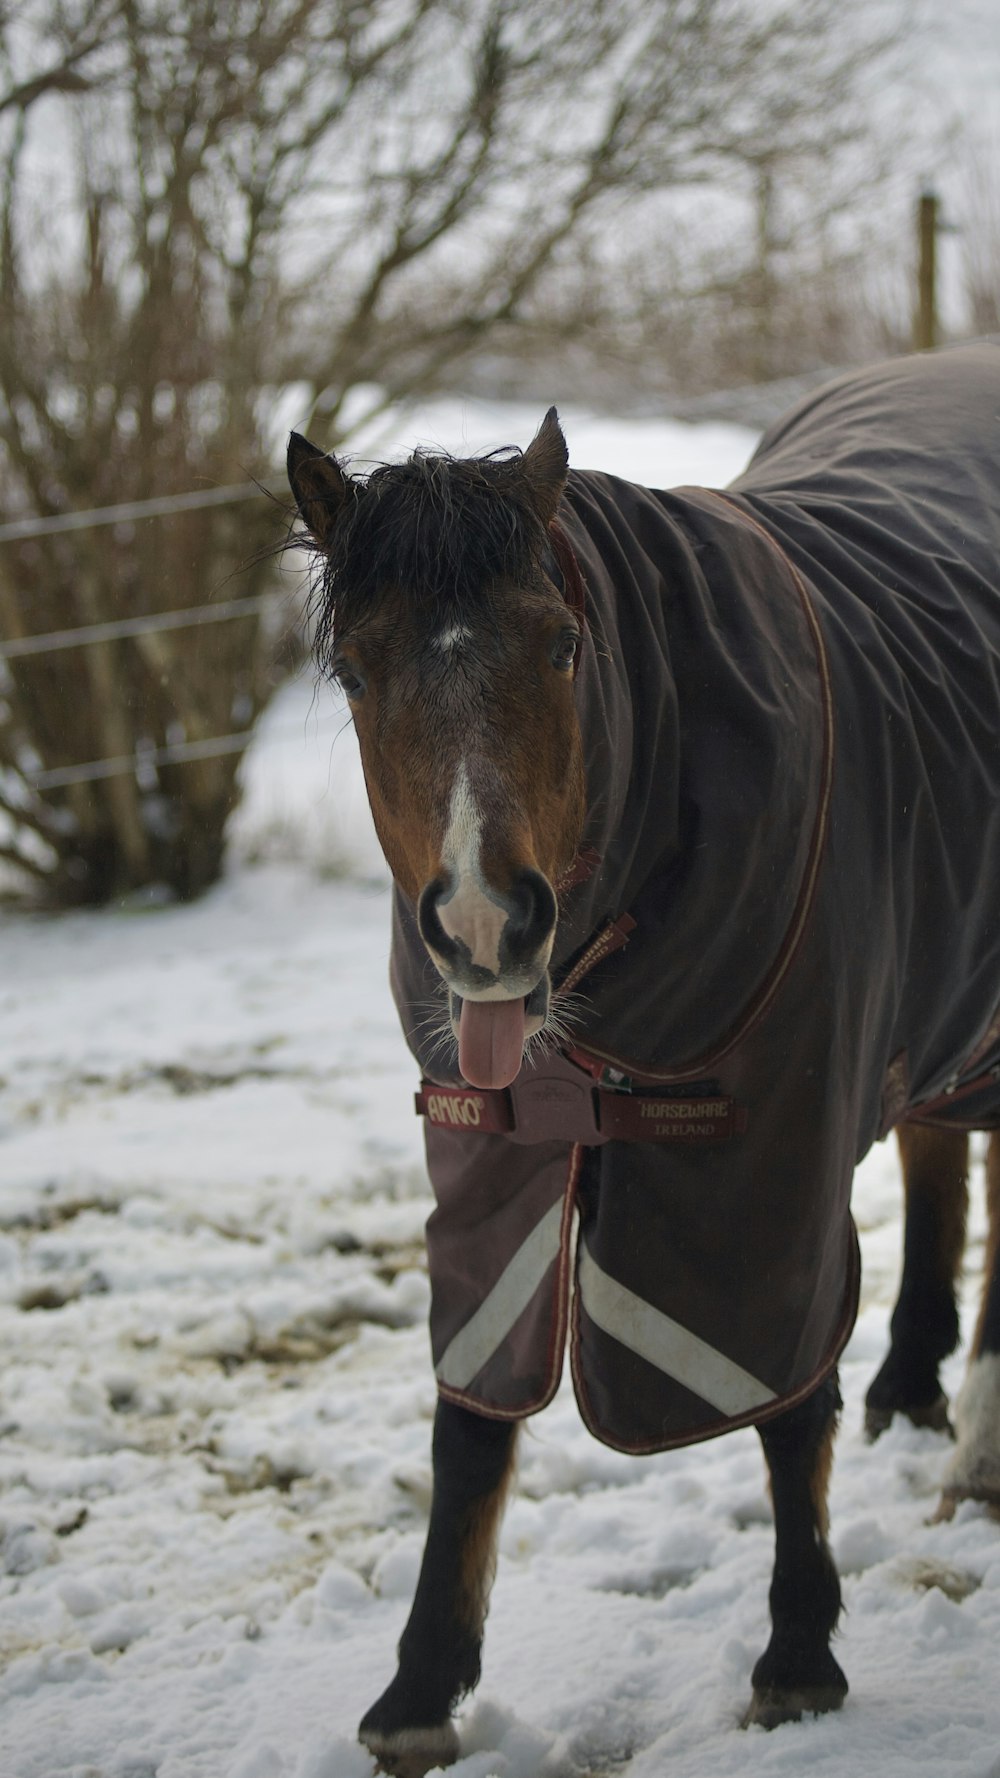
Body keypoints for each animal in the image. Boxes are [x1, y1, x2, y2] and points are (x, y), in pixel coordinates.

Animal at [284, 336, 996, 1778]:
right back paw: (912, 1386)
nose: (485, 922)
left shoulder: (766, 1152)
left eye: (562, 645)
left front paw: (797, 1654)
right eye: (357, 671)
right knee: (939, 1146)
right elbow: (470, 1409)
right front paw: (419, 1685)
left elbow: (783, 1400)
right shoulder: (485, 1145)